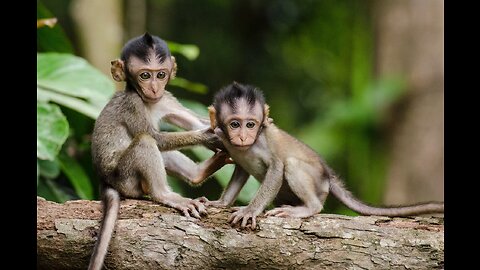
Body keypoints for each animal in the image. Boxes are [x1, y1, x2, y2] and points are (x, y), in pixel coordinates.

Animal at [201, 81, 444, 228]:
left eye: (250, 124)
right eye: (235, 124)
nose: (243, 137)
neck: (248, 146)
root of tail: (328, 176)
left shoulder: (265, 140)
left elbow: (277, 167)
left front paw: (250, 210)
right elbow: (240, 169)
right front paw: (221, 203)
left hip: (318, 185)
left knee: (292, 165)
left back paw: (308, 208)